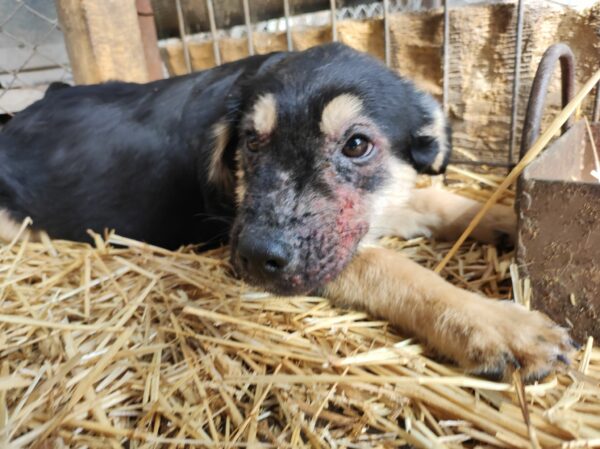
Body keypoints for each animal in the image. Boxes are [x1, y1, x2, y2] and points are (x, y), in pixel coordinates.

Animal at [0, 42, 572, 380]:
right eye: (251, 143)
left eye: (357, 144)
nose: (257, 258)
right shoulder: (253, 241)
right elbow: (393, 269)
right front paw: (497, 325)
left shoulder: (366, 210)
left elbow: (438, 200)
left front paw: (510, 219)